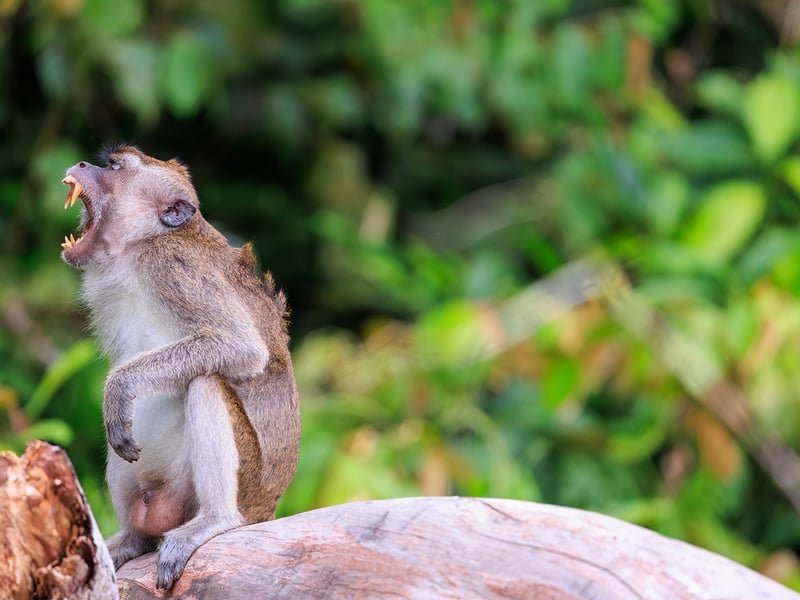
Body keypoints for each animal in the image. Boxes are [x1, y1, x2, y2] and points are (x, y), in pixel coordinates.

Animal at [59, 145, 301, 590]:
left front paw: (118, 386)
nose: (84, 165)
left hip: (242, 489)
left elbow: (241, 346)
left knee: (205, 381)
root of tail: (268, 509)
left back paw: (215, 520)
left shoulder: (172, 264)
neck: (141, 246)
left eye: (114, 167)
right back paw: (134, 538)